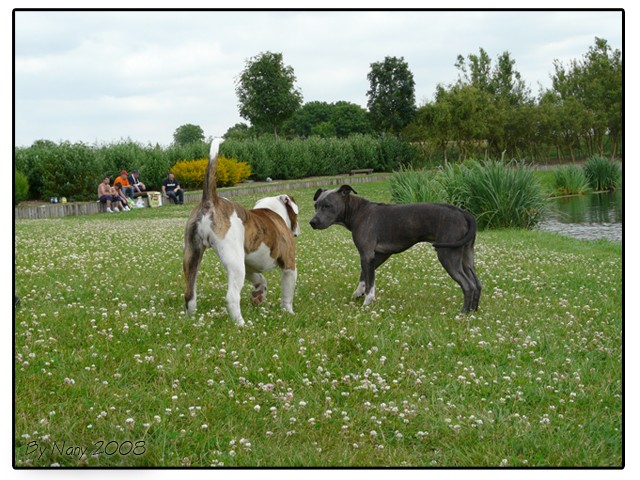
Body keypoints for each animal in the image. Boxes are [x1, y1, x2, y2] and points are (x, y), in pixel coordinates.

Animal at [181, 139, 298, 326]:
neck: (272, 210)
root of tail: (210, 201)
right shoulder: (289, 264)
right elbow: (287, 293)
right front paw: (288, 312)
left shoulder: (249, 267)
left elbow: (260, 279)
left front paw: (258, 295)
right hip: (234, 264)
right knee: (231, 297)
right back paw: (241, 324)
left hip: (192, 254)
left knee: (189, 294)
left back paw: (192, 319)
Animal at [308, 184, 480, 312]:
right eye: (315, 205)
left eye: (327, 206)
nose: (312, 222)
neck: (357, 211)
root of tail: (463, 213)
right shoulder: (378, 256)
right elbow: (364, 276)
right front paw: (359, 293)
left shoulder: (367, 255)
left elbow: (370, 282)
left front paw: (367, 301)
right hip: (466, 257)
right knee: (477, 284)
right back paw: (473, 311)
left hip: (447, 255)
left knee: (468, 285)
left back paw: (463, 313)